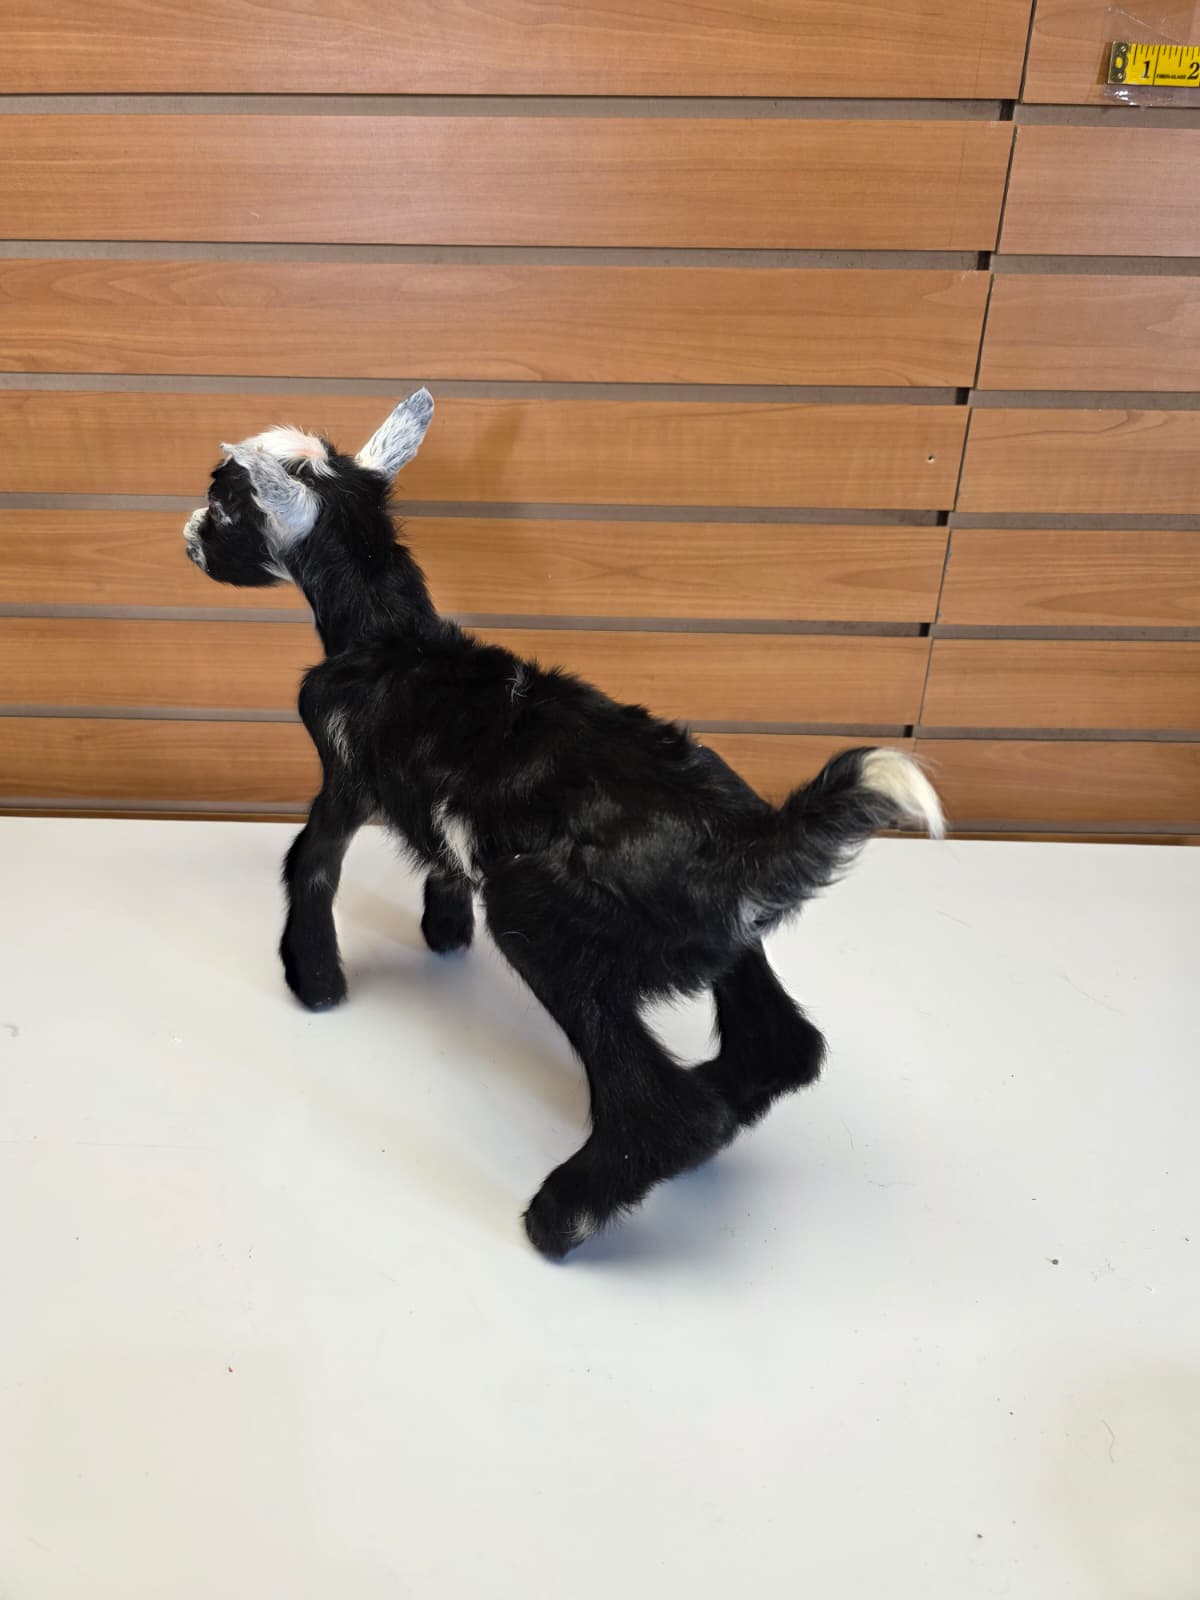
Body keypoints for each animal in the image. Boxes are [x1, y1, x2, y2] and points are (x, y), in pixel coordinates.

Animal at [183, 390, 943, 1258]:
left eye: (226, 503)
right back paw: (726, 1102)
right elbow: (437, 851)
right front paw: (443, 930)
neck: (389, 634)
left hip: (550, 928)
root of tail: (749, 852)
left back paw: (563, 1213)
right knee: (784, 1046)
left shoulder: (346, 769)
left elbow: (310, 860)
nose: (187, 535)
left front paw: (314, 981)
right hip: (730, 943)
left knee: (661, 1105)